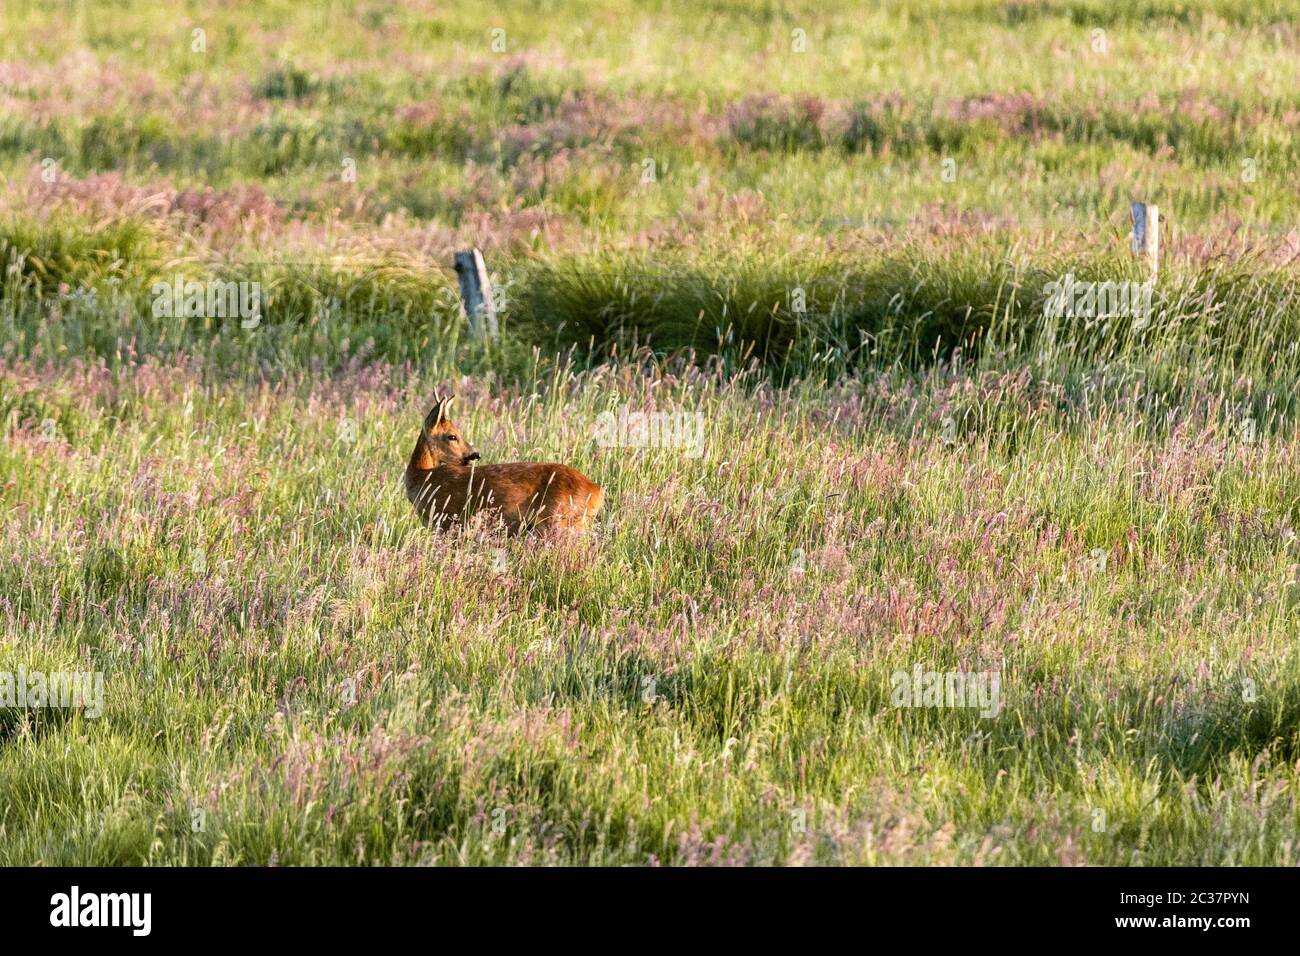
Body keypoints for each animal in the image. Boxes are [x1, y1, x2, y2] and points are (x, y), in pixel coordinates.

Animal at [405, 392, 603, 535]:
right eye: (452, 436)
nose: (474, 455)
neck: (422, 476)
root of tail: (597, 491)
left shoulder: (447, 519)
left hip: (558, 521)